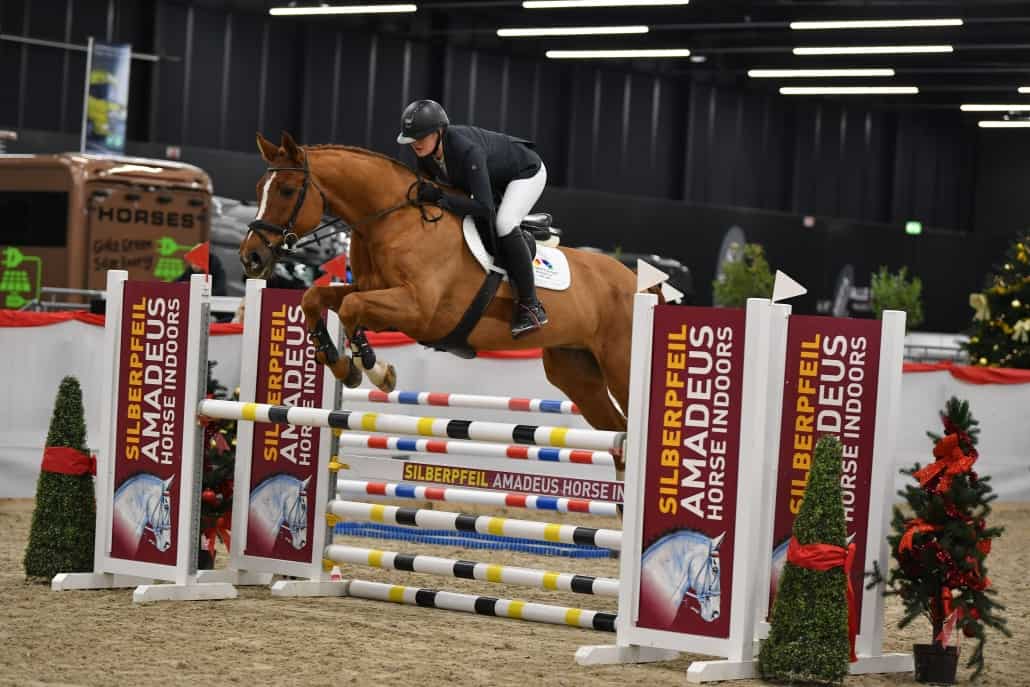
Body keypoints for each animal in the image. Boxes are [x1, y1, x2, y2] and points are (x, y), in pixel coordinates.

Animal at [240, 132, 640, 472]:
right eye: (259, 188)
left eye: (287, 190)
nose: (251, 258)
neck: (392, 220)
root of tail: (639, 283)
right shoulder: (374, 294)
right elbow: (316, 297)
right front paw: (341, 364)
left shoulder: (419, 310)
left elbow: (353, 308)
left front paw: (376, 370)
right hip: (575, 372)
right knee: (617, 434)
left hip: (620, 367)